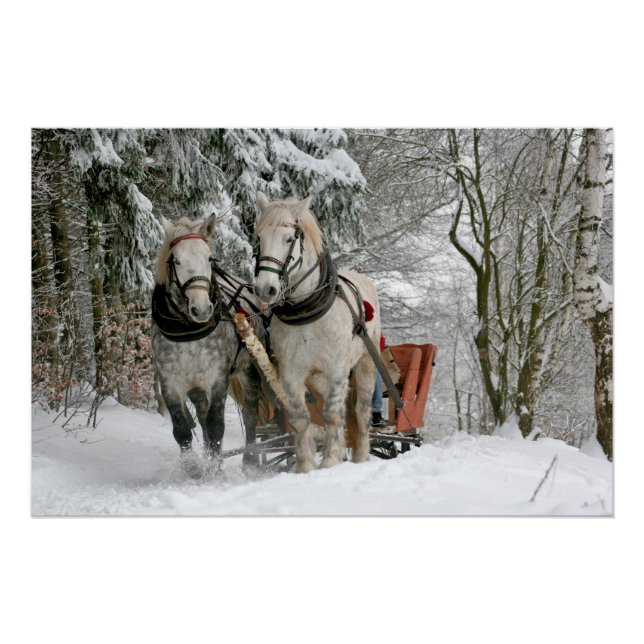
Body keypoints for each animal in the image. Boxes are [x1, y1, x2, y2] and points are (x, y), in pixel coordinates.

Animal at [151, 214, 261, 475]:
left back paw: (250, 460)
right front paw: (193, 469)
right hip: (196, 387)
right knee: (201, 417)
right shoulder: (170, 383)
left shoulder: (218, 379)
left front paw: (214, 469)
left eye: (210, 258)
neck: (189, 331)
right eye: (176, 260)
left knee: (250, 412)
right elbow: (182, 430)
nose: (201, 309)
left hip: (248, 371)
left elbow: (216, 425)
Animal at [253, 192, 381, 473]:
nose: (265, 289)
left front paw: (331, 460)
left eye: (289, 239)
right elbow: (301, 418)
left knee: (361, 411)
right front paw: (305, 466)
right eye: (259, 238)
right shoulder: (291, 372)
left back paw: (360, 456)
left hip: (365, 363)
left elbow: (332, 414)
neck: (306, 308)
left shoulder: (338, 367)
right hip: (319, 378)